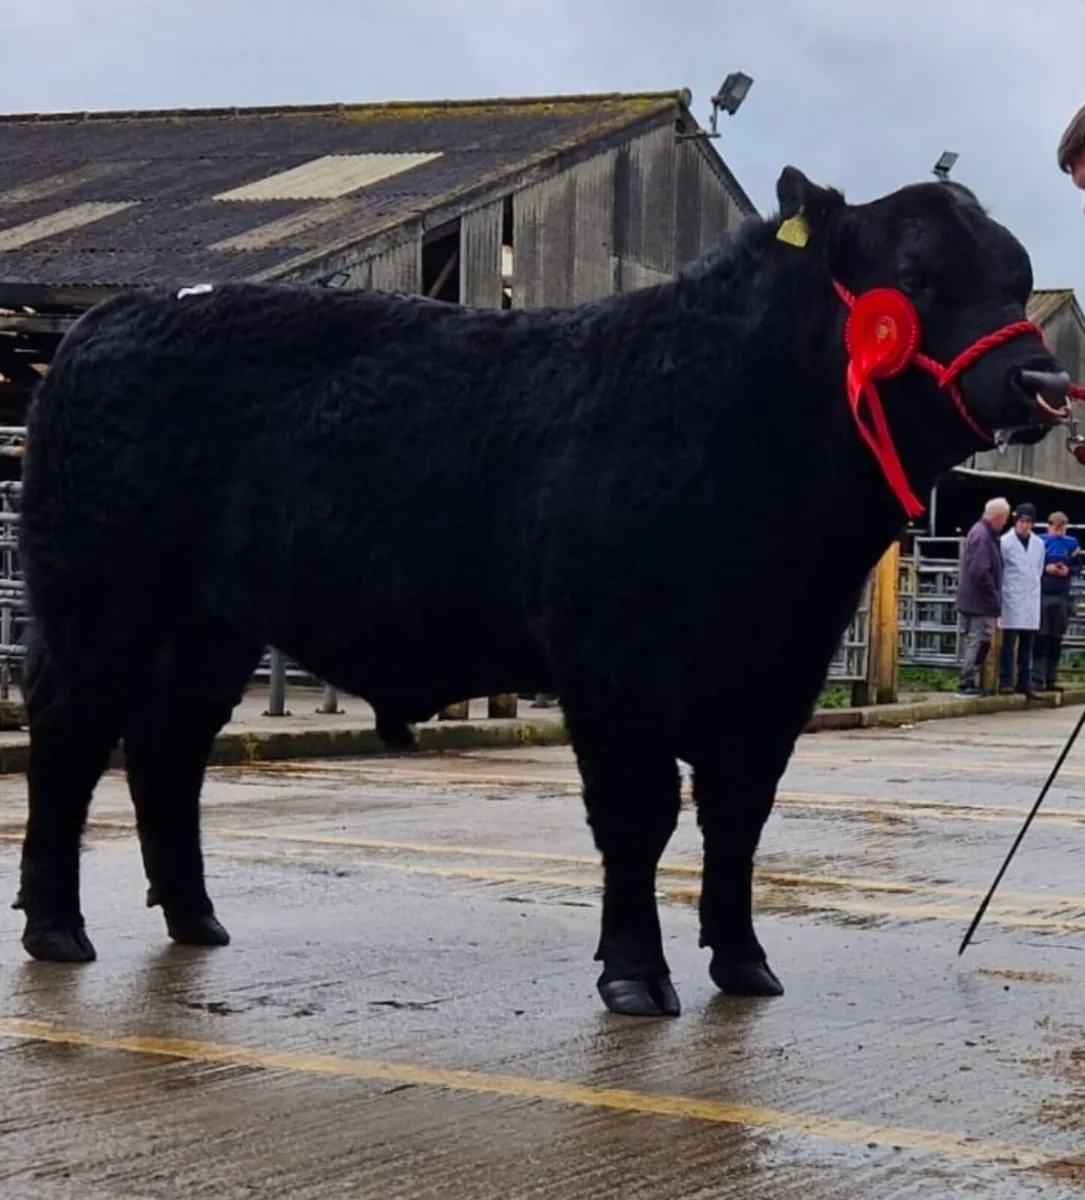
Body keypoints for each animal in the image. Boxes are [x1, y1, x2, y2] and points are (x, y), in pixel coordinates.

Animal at [11, 165, 1074, 1018]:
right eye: (917, 277)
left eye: (1015, 277)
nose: (1040, 378)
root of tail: (112, 317)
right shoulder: (613, 668)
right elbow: (638, 817)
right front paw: (636, 976)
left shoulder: (775, 674)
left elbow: (737, 815)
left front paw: (743, 964)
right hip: (94, 604)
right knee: (70, 739)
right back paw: (57, 928)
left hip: (205, 628)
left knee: (168, 749)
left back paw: (195, 918)